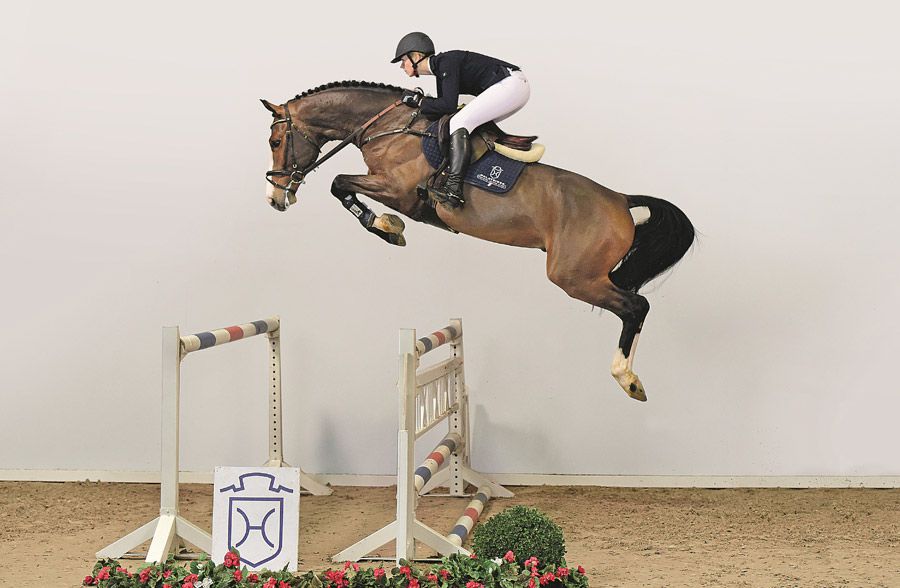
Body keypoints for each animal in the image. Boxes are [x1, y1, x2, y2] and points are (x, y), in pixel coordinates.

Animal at [261, 81, 695, 402]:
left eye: (276, 142)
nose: (275, 198)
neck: (392, 128)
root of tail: (620, 200)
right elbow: (342, 186)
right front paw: (389, 227)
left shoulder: (397, 190)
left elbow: (338, 183)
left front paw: (387, 226)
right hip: (587, 274)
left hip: (574, 276)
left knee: (636, 306)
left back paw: (628, 379)